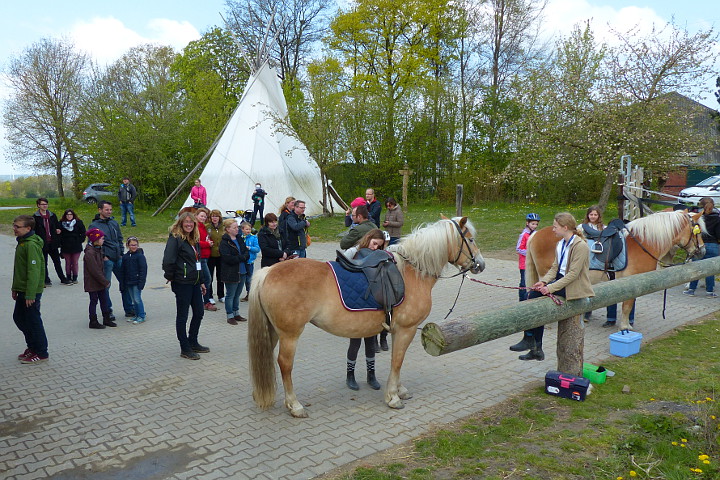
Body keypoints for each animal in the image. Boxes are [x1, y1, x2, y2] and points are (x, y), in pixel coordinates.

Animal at [246, 218, 484, 416]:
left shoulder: (396, 331)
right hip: (290, 334)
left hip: (273, 331)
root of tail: (267, 272)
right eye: (471, 239)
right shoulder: (406, 329)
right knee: (285, 364)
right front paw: (393, 397)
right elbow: (398, 360)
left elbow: (396, 360)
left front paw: (399, 389)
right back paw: (294, 405)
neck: (411, 271)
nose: (480, 264)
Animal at [524, 212, 704, 332]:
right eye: (698, 230)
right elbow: (627, 306)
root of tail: (537, 234)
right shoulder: (632, 282)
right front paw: (625, 326)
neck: (642, 243)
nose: (702, 250)